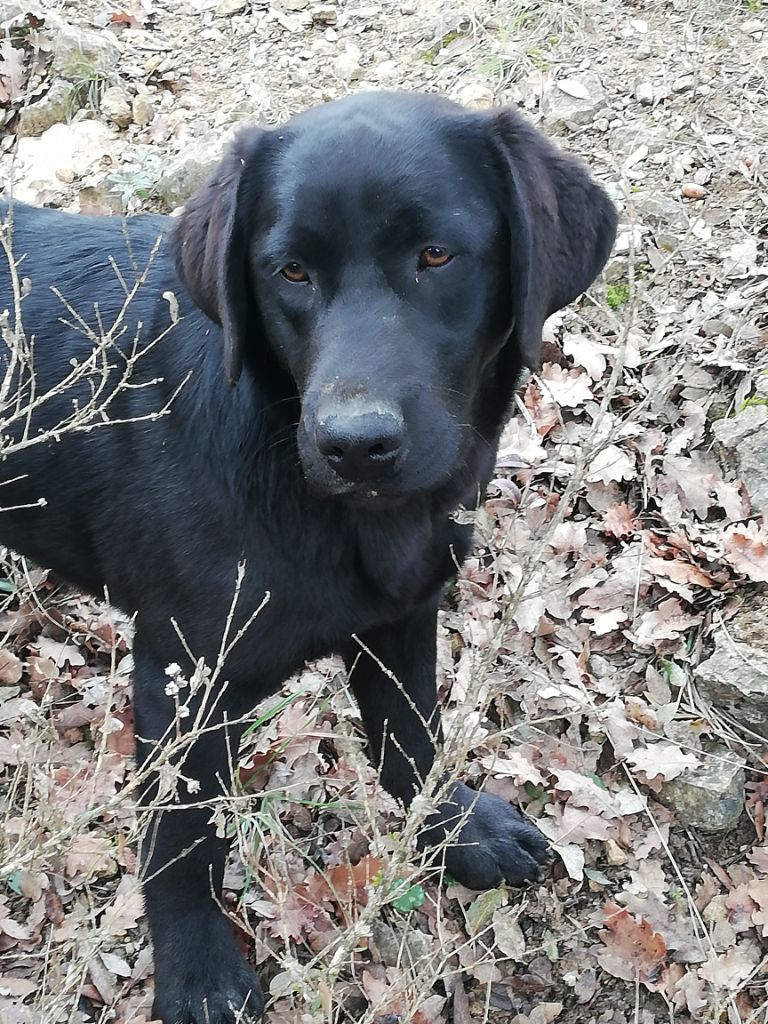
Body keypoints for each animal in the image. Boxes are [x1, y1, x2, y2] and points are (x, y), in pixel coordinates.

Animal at [0, 92, 618, 1019]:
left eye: (436, 255)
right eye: (289, 271)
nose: (355, 445)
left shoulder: (402, 614)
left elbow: (411, 739)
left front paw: (454, 831)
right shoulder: (180, 678)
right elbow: (182, 841)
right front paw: (198, 970)